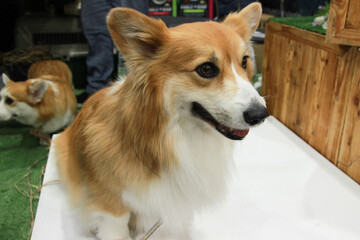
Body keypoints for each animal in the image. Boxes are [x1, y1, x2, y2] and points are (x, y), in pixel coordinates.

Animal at [53, 2, 268, 239]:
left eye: (244, 61)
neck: (168, 138)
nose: (261, 115)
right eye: (206, 69)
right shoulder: (109, 204)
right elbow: (118, 228)